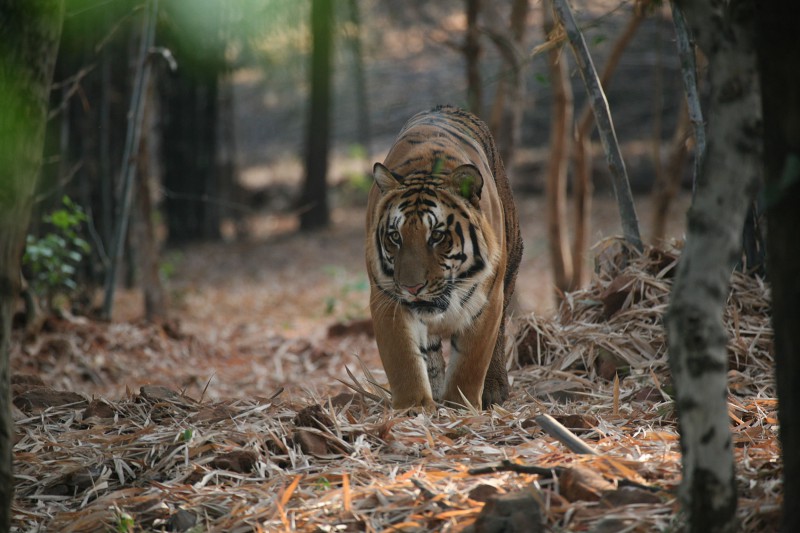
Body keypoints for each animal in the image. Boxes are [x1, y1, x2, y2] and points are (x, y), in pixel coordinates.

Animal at [364, 105, 524, 412]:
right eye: (395, 237)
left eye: (437, 235)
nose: (412, 287)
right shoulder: (386, 297)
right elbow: (403, 359)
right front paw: (414, 407)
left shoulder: (487, 300)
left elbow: (471, 362)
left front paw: (461, 405)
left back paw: (493, 388)